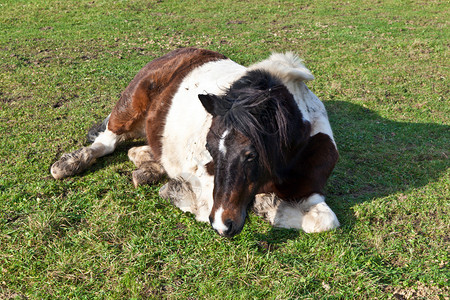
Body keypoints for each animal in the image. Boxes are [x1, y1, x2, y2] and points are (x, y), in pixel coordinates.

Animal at [51, 47, 340, 237]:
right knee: (108, 141)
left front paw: (266, 205)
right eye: (209, 149)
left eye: (251, 155)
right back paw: (69, 164)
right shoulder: (204, 178)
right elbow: (204, 204)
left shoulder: (309, 188)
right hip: (131, 103)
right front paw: (176, 190)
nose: (224, 225)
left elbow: (324, 221)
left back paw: (145, 165)